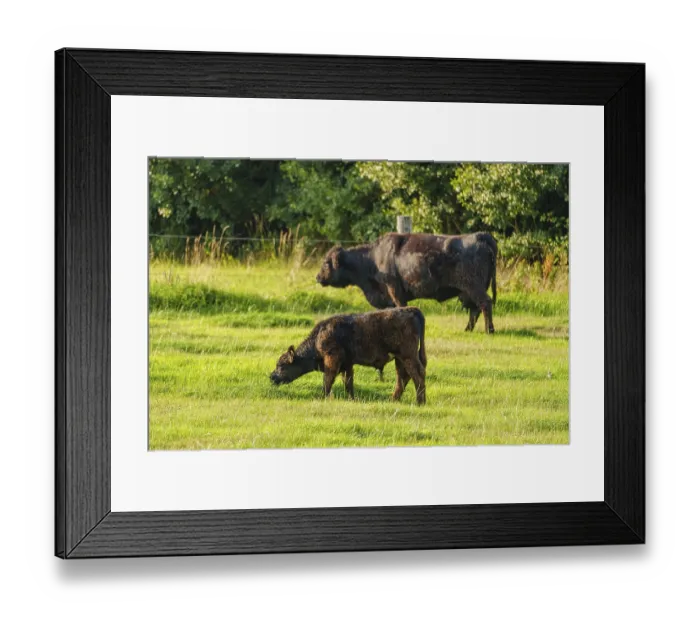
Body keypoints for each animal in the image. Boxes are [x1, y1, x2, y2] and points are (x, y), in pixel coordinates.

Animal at [270, 307, 427, 404]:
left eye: (281, 365)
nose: (272, 377)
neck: (319, 337)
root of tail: (411, 309)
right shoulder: (347, 364)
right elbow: (348, 383)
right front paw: (352, 399)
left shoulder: (332, 360)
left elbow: (328, 379)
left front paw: (322, 397)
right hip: (399, 359)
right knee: (403, 377)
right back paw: (394, 400)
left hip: (408, 356)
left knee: (417, 375)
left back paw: (419, 402)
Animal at [316, 232, 498, 333]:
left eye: (326, 262)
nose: (317, 277)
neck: (374, 258)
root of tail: (480, 235)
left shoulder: (395, 291)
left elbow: (401, 308)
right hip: (468, 291)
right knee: (475, 309)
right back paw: (468, 330)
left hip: (474, 287)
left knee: (485, 303)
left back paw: (489, 330)